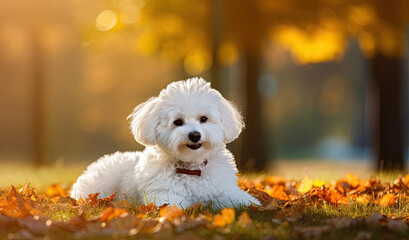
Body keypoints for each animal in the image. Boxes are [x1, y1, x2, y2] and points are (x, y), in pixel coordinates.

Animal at [70, 78, 258, 207]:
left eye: (203, 119)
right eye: (178, 122)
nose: (195, 135)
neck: (191, 169)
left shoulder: (223, 189)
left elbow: (236, 199)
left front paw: (252, 203)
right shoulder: (162, 193)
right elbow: (174, 204)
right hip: (100, 184)